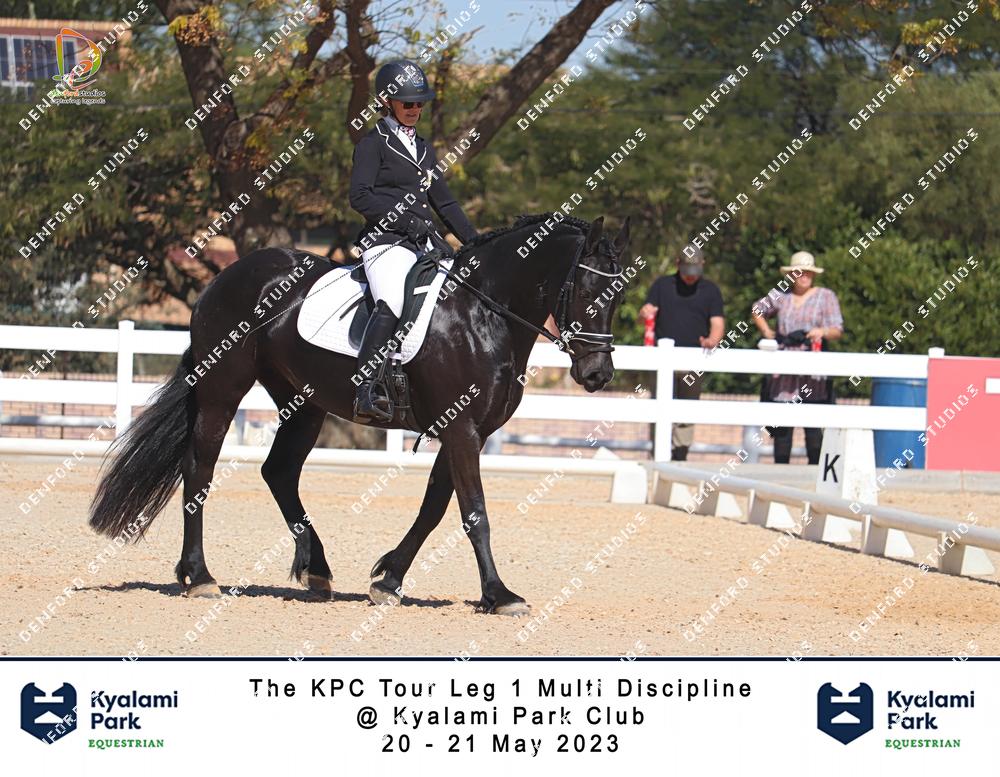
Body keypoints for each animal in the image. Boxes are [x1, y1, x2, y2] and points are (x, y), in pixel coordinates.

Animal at [88, 213, 631, 615]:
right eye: (586, 289)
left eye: (620, 292)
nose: (597, 374)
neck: (484, 314)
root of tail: (227, 276)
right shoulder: (461, 429)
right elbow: (474, 513)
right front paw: (499, 595)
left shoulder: (461, 431)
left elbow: (433, 509)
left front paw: (388, 581)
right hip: (223, 390)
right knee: (199, 468)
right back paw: (200, 576)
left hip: (303, 402)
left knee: (278, 471)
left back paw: (316, 570)